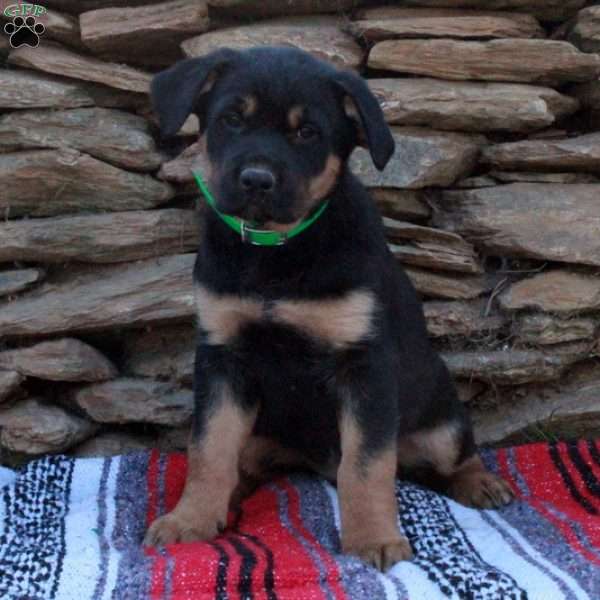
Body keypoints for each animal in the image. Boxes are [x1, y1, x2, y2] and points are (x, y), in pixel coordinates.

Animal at [143, 47, 512, 572]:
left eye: (308, 133)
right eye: (232, 119)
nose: (256, 180)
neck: (277, 252)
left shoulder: (363, 366)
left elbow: (366, 464)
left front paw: (374, 537)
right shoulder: (222, 358)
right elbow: (208, 450)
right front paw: (189, 519)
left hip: (442, 424)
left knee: (456, 455)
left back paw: (481, 482)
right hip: (261, 435)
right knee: (241, 464)